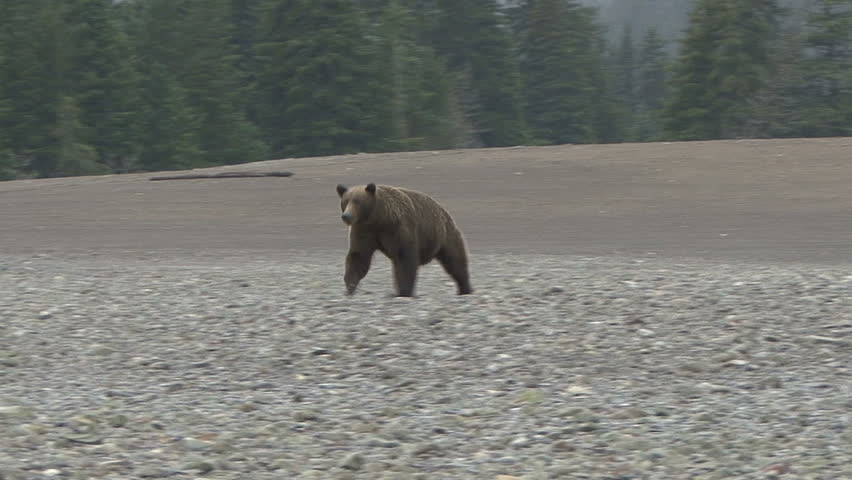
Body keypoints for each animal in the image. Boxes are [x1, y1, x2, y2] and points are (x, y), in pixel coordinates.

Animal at [335, 182, 473, 297]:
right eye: (345, 201)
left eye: (357, 201)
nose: (346, 216)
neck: (378, 219)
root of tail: (444, 211)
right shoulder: (364, 232)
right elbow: (358, 257)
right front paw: (350, 286)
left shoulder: (398, 228)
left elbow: (405, 258)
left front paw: (404, 291)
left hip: (445, 235)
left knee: (455, 261)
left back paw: (465, 289)